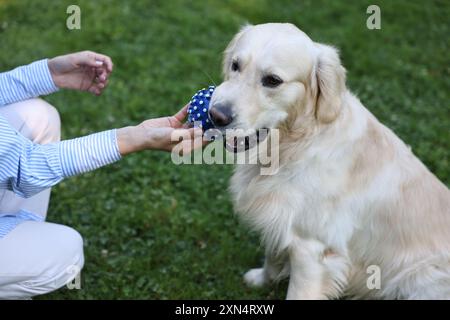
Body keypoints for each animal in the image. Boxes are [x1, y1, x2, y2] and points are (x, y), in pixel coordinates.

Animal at [207, 23, 450, 300]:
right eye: (235, 65)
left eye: (272, 80)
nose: (216, 115)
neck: (296, 143)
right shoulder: (279, 217)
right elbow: (273, 255)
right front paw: (262, 279)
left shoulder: (313, 250)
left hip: (424, 277)